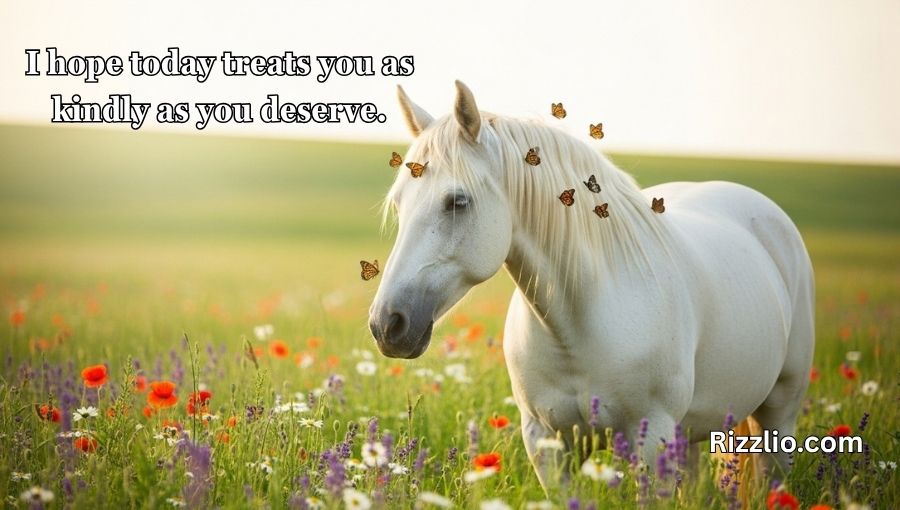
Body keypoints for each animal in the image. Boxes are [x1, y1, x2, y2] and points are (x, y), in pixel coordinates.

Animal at [368, 81, 815, 489]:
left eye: (457, 202)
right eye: (399, 204)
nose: (387, 324)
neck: (577, 324)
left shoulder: (650, 438)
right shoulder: (547, 442)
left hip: (778, 415)